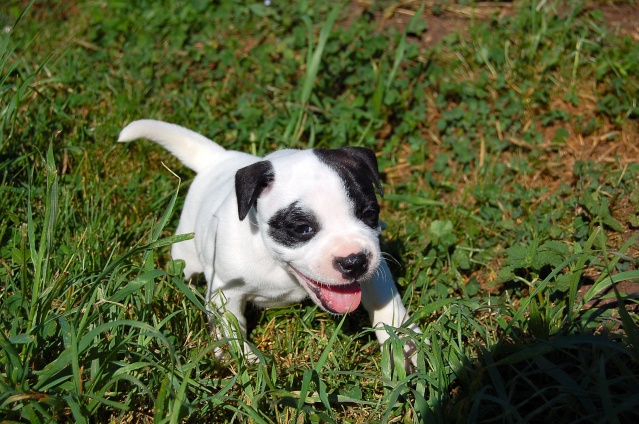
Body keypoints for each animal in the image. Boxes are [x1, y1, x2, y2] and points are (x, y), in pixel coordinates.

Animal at [118, 120, 422, 368]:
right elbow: (231, 326)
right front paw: (242, 357)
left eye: (369, 214)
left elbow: (386, 302)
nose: (354, 261)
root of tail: (219, 158)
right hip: (186, 252)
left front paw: (403, 343)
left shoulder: (376, 267)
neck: (276, 264)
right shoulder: (225, 293)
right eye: (302, 229)